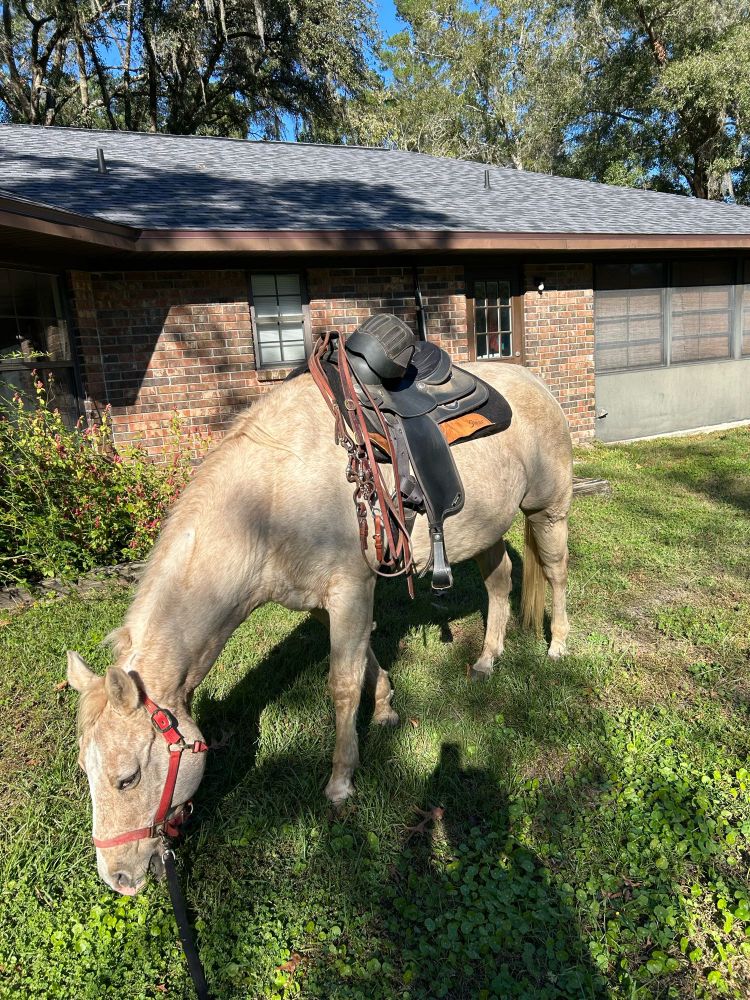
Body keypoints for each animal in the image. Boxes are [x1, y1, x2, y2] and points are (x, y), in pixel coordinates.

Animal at [66, 361, 573, 894]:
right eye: (85, 771)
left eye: (127, 777)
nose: (119, 877)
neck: (268, 502)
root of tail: (534, 381)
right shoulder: (326, 602)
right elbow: (363, 658)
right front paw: (386, 707)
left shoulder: (349, 588)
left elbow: (342, 683)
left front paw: (341, 781)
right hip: (486, 529)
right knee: (499, 583)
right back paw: (487, 659)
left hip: (548, 510)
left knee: (556, 572)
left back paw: (559, 643)